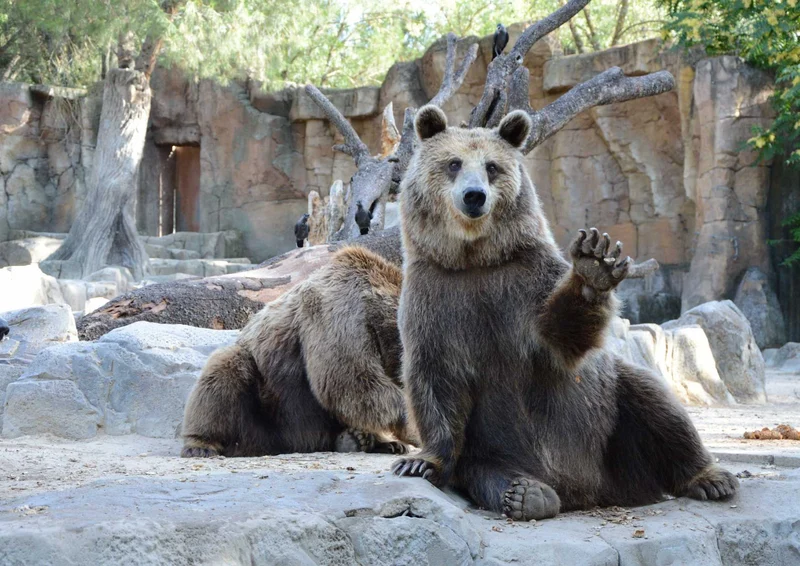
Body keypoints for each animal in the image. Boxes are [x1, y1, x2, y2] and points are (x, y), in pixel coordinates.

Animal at [181, 245, 418, 458]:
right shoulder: (340, 313)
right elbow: (348, 378)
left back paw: (368, 441)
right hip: (268, 406)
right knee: (224, 371)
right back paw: (201, 445)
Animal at [392, 105, 738, 520]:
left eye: (492, 166)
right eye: (453, 163)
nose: (474, 196)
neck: (475, 259)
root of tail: (589, 491)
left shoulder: (525, 284)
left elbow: (561, 338)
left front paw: (595, 262)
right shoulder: (436, 297)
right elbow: (434, 376)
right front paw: (419, 462)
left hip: (611, 425)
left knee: (656, 405)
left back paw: (711, 477)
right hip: (491, 448)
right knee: (487, 470)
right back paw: (526, 493)